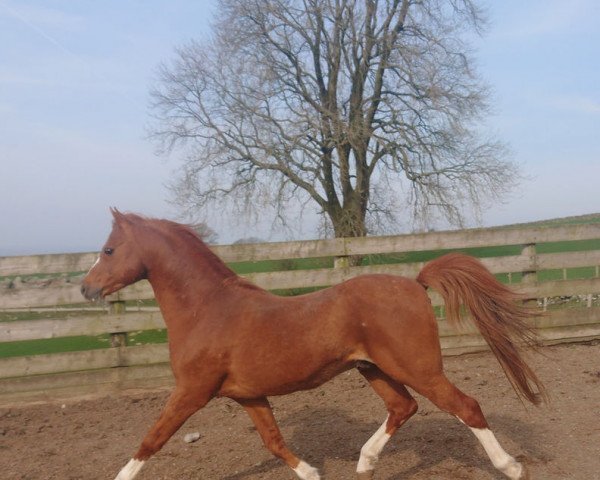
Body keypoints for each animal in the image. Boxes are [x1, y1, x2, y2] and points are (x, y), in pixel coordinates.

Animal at [79, 210, 544, 480]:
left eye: (109, 249)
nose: (85, 288)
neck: (208, 310)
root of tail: (415, 283)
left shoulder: (191, 391)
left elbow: (151, 440)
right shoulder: (249, 395)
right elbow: (274, 441)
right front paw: (312, 472)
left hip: (419, 368)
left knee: (466, 407)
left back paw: (511, 466)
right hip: (374, 369)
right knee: (403, 408)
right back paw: (365, 463)